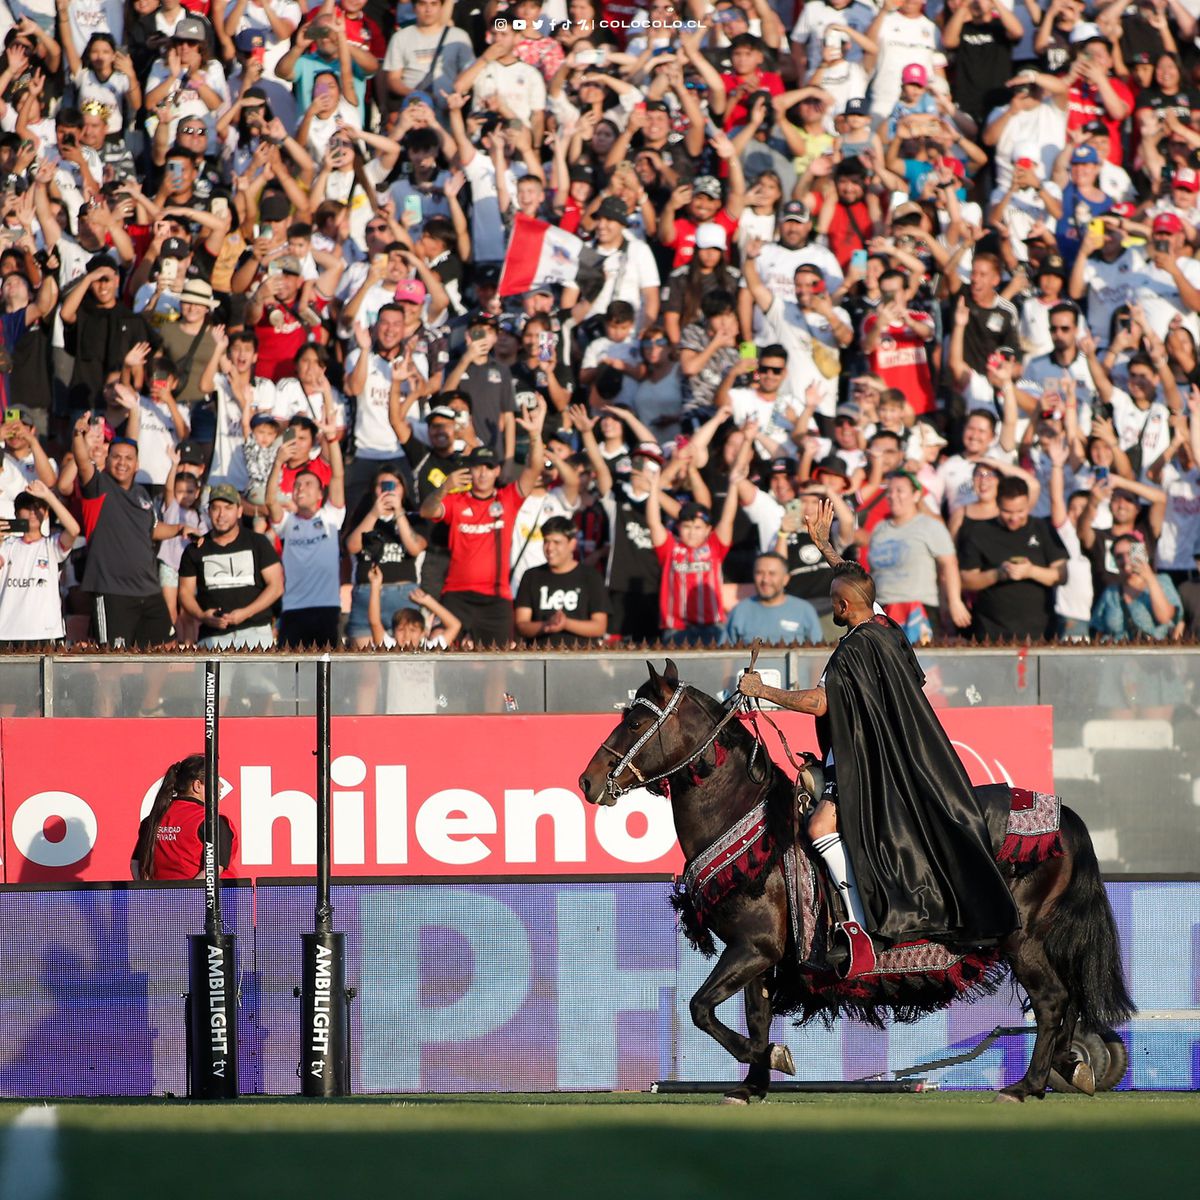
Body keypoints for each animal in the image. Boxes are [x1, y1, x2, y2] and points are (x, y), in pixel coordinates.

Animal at [578, 662, 1132, 1099]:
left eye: (638, 719)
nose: (588, 780)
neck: (744, 816)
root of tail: (1064, 816)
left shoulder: (753, 946)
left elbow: (700, 1009)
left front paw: (773, 1057)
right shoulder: (757, 953)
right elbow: (752, 1016)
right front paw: (753, 1082)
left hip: (1023, 937)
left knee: (1053, 1000)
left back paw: (1027, 1085)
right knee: (1066, 1000)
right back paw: (1071, 1066)